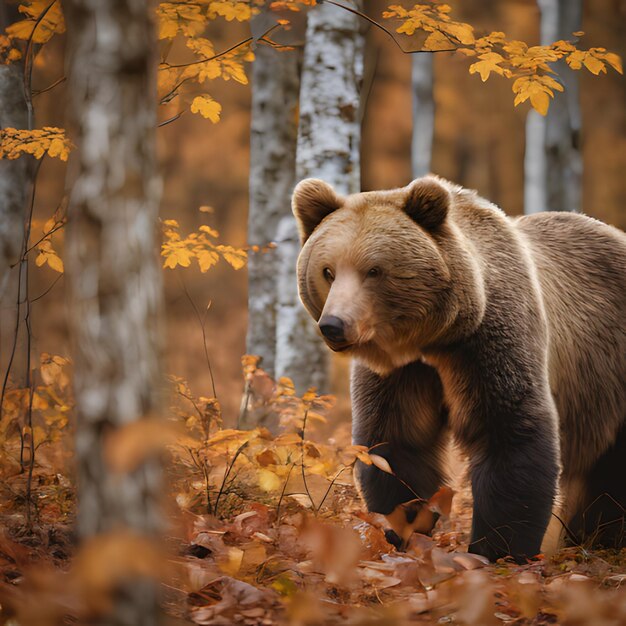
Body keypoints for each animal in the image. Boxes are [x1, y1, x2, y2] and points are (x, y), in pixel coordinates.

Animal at [292, 176, 624, 560]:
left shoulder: (487, 344)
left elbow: (510, 433)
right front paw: (399, 530)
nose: (334, 325)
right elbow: (397, 444)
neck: (432, 339)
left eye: (374, 270)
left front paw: (497, 549)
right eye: (327, 271)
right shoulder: (404, 374)